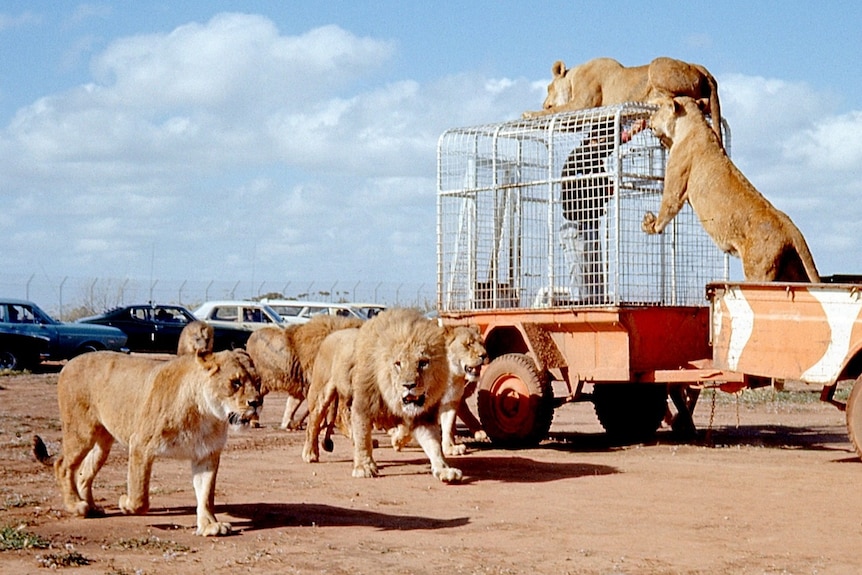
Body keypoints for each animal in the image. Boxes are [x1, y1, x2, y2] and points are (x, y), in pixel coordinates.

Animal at [34, 347, 262, 537]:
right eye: (236, 382)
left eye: (258, 382)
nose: (256, 402)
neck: (206, 415)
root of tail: (70, 363)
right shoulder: (140, 445)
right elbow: (140, 496)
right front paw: (125, 503)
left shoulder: (206, 455)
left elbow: (205, 494)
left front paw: (209, 526)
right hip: (81, 433)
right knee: (63, 466)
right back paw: (76, 506)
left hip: (102, 442)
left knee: (84, 473)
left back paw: (91, 507)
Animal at [524, 56, 722, 141]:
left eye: (548, 88)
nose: (544, 103)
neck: (573, 76)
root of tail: (703, 69)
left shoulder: (584, 102)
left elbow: (557, 110)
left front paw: (530, 113)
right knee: (701, 103)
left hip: (656, 64)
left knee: (681, 99)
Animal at [641, 96, 820, 282]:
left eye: (659, 109)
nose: (649, 119)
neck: (694, 124)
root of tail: (791, 229)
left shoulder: (677, 179)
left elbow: (667, 207)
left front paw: (650, 224)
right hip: (793, 271)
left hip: (758, 270)